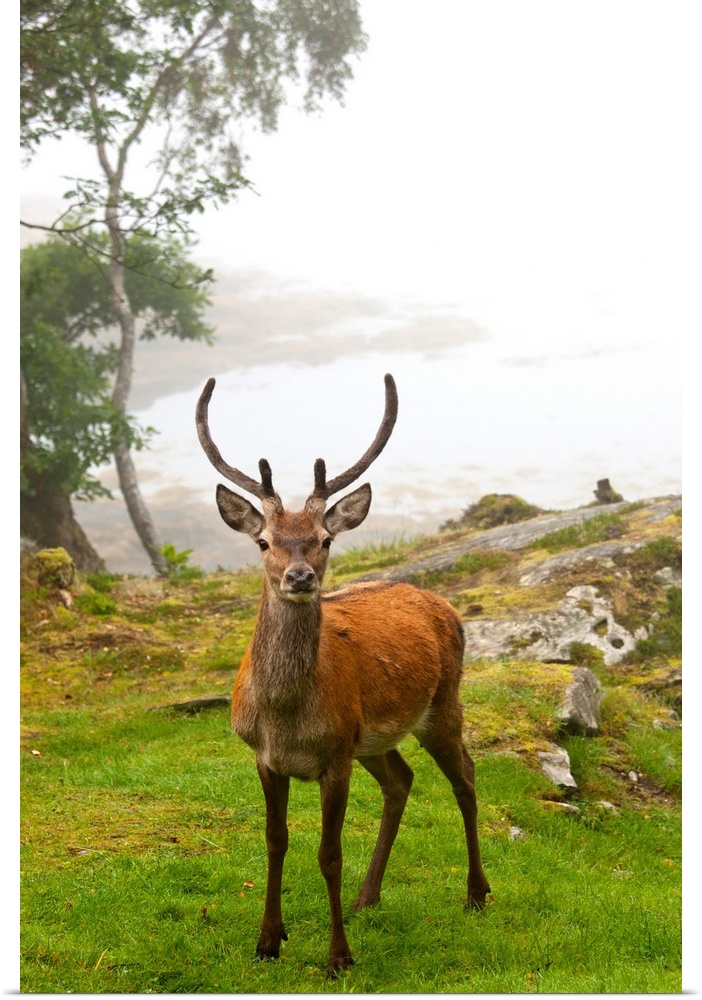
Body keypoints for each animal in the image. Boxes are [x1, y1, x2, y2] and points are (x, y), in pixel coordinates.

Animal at [192, 372, 490, 972]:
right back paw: (366, 897)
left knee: (465, 777)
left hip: (441, 705)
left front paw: (338, 957)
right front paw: (267, 941)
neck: (284, 716)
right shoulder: (266, 758)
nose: (300, 576)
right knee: (402, 780)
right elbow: (275, 839)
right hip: (372, 739)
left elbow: (329, 854)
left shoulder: (335, 758)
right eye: (264, 541)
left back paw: (476, 892)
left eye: (325, 540)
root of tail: (443, 604)